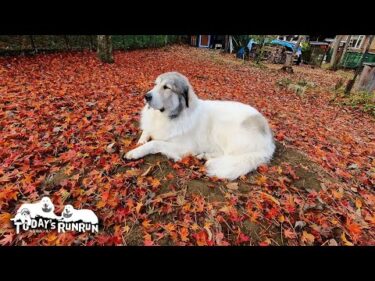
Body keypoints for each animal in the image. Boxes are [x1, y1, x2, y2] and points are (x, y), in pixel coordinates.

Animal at [126, 70, 276, 179]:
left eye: (166, 87)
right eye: (155, 84)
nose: (146, 96)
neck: (169, 116)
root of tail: (268, 140)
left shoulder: (183, 146)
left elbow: (154, 143)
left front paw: (135, 152)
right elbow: (146, 132)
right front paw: (140, 142)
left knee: (228, 155)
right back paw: (204, 155)